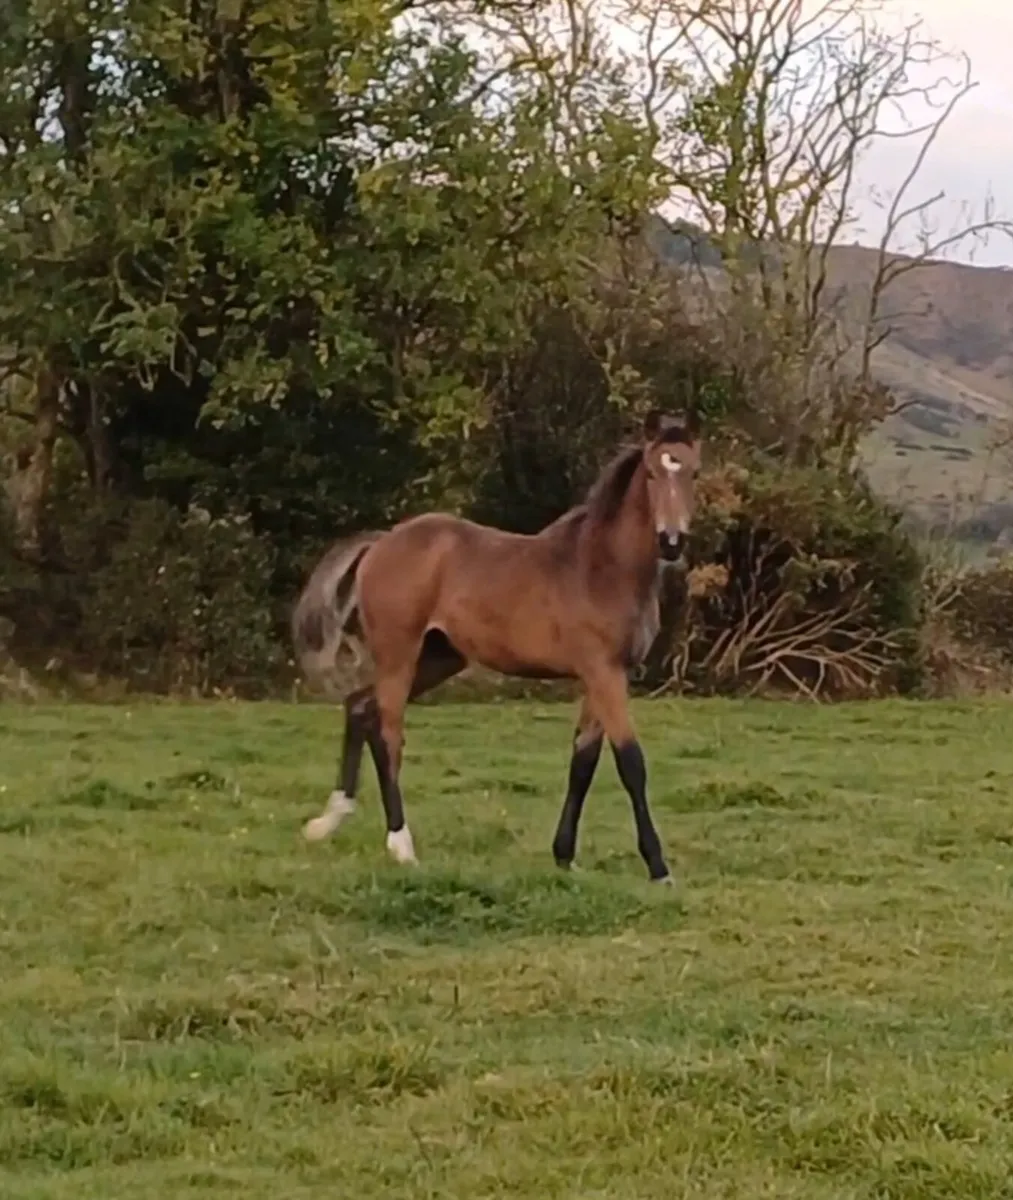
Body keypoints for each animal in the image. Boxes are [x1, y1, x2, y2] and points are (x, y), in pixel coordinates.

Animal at [292, 408, 701, 882]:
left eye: (693, 472)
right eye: (653, 472)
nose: (672, 542)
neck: (604, 568)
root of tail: (381, 542)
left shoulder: (607, 675)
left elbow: (583, 761)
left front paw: (564, 855)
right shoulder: (603, 671)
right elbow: (630, 762)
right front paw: (658, 866)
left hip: (439, 657)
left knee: (360, 707)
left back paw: (329, 820)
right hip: (400, 653)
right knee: (389, 733)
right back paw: (401, 845)